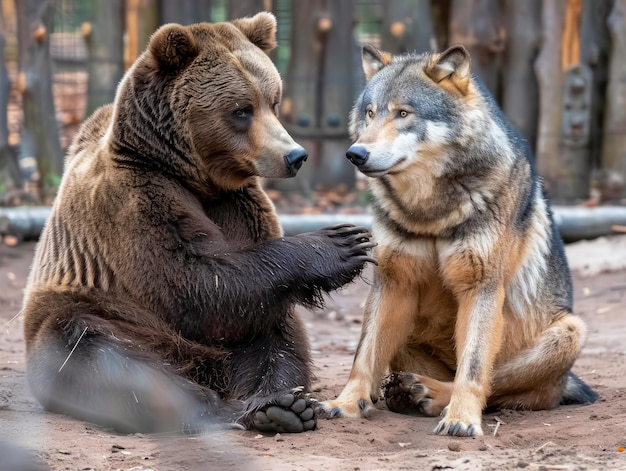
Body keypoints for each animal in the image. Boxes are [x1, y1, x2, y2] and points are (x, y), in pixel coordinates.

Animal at [23, 12, 376, 436]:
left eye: (273, 101)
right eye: (242, 109)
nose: (295, 155)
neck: (195, 176)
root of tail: (201, 366)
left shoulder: (237, 204)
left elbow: (244, 291)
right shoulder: (137, 197)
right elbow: (192, 279)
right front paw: (342, 243)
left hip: (238, 340)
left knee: (275, 340)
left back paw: (280, 404)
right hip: (100, 314)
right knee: (99, 352)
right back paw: (220, 408)